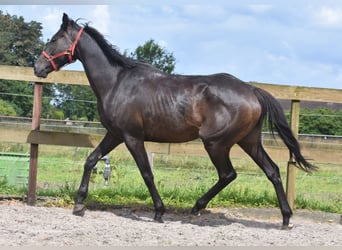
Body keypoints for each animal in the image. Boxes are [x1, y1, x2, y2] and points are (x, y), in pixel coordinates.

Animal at [34, 13, 316, 229]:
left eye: (54, 39)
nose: (37, 67)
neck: (116, 82)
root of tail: (252, 91)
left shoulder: (132, 137)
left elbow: (147, 173)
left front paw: (159, 212)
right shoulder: (114, 134)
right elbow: (91, 160)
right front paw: (79, 204)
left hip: (216, 143)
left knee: (228, 174)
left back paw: (196, 207)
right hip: (249, 141)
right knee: (272, 171)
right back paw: (285, 219)